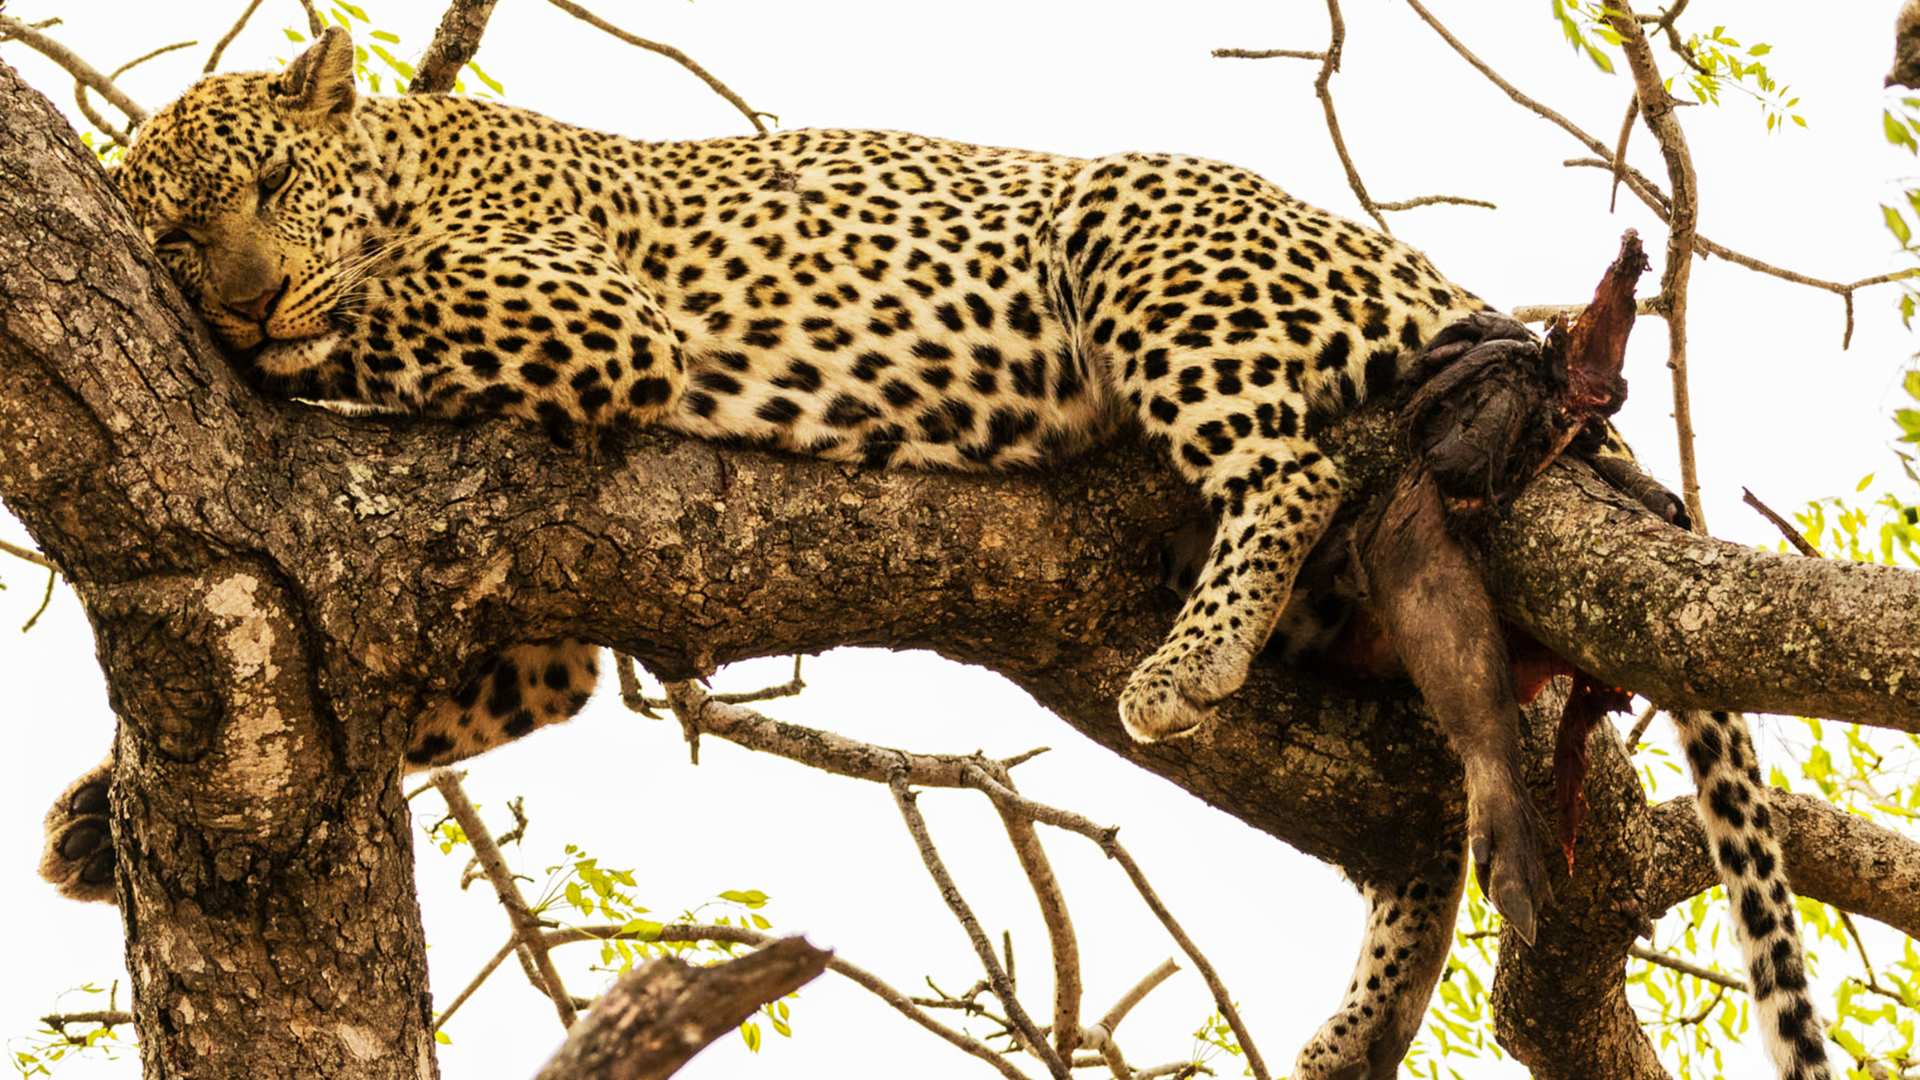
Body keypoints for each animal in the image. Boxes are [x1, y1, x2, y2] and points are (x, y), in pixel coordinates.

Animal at [36, 27, 1831, 1080]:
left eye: (273, 184)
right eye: (179, 227)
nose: (246, 287)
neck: (418, 158)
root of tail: (1416, 270)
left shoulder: (584, 317)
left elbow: (385, 305)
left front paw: (289, 330)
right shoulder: (539, 626)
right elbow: (459, 696)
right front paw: (88, 832)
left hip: (1146, 231)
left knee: (1300, 460)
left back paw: (1191, 658)